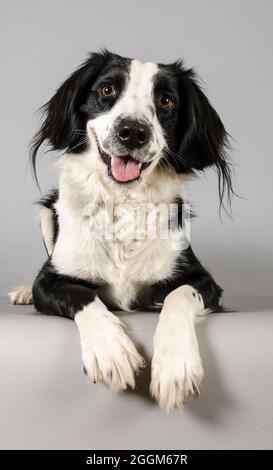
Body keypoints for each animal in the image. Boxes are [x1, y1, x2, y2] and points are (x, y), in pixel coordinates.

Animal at [10, 50, 232, 412]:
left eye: (166, 101)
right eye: (108, 90)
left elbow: (178, 296)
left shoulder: (203, 281)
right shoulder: (50, 280)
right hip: (45, 213)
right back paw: (22, 291)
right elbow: (82, 294)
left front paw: (176, 366)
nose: (133, 131)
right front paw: (111, 350)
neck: (123, 203)